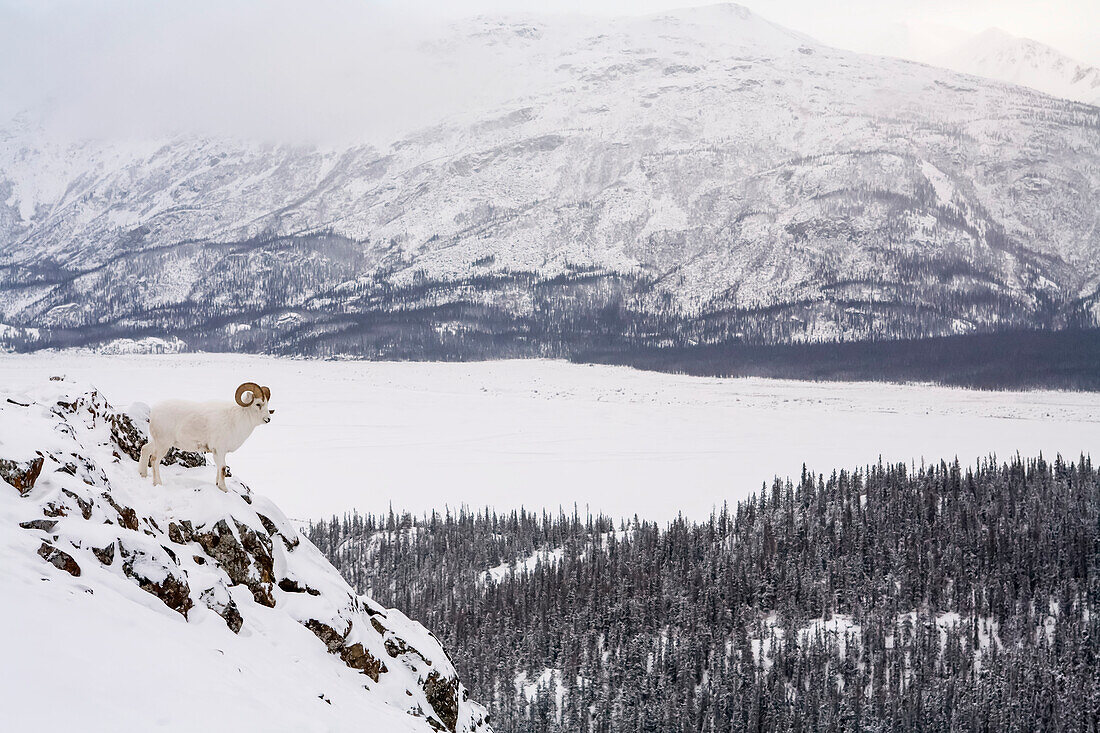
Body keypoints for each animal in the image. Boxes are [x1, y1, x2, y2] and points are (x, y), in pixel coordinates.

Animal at [139, 378, 275, 488]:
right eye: (258, 404)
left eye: (267, 404)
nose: (268, 419)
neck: (236, 420)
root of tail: (154, 412)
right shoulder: (220, 449)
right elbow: (223, 468)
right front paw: (224, 489)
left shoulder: (217, 452)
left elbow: (219, 469)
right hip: (163, 444)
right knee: (154, 459)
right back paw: (158, 483)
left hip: (156, 442)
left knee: (145, 449)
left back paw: (143, 475)